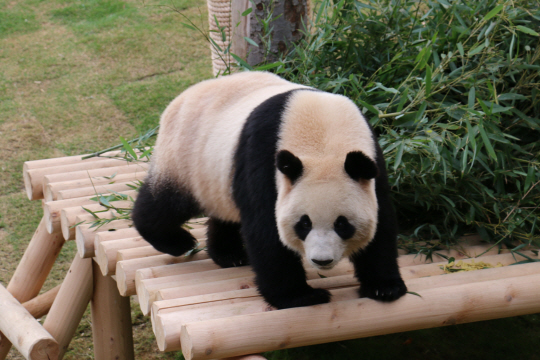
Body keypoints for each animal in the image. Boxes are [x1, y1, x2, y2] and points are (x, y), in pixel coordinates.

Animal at [133, 71, 408, 310]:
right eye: (304, 223)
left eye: (343, 224)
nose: (322, 260)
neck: (324, 135)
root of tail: (181, 97)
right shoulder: (265, 159)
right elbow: (266, 230)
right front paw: (300, 296)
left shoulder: (372, 162)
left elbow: (382, 222)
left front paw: (384, 287)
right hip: (185, 156)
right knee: (165, 203)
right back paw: (177, 242)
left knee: (224, 213)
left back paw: (229, 254)